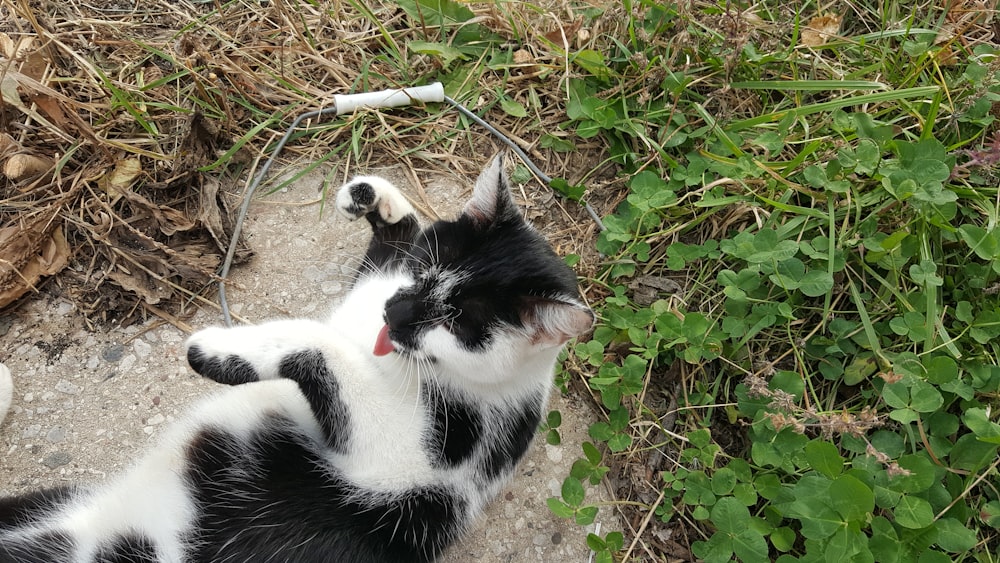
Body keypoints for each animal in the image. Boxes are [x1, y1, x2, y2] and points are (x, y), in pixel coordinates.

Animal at [0, 155, 592, 563]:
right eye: (424, 274)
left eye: (451, 322)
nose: (395, 313)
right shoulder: (377, 290)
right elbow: (390, 252)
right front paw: (378, 200)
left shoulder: (405, 467)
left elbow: (319, 341)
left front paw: (223, 352)